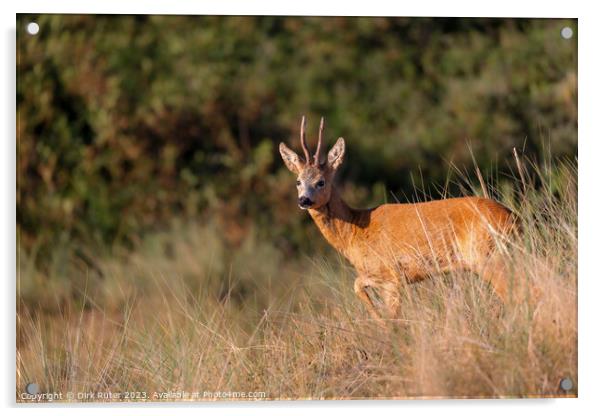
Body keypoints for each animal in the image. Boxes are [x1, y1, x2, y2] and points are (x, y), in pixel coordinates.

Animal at [278, 115, 516, 320]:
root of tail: (513, 217)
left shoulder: (389, 275)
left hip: (487, 255)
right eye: (298, 181)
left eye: (321, 182)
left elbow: (368, 295)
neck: (356, 230)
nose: (304, 200)